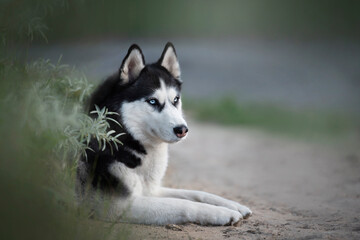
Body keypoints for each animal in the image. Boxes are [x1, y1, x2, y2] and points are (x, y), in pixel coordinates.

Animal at [76, 42, 250, 225]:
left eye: (176, 100)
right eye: (152, 101)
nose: (182, 130)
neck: (124, 136)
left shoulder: (151, 190)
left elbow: (196, 193)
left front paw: (233, 205)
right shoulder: (114, 205)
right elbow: (182, 204)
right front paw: (223, 213)